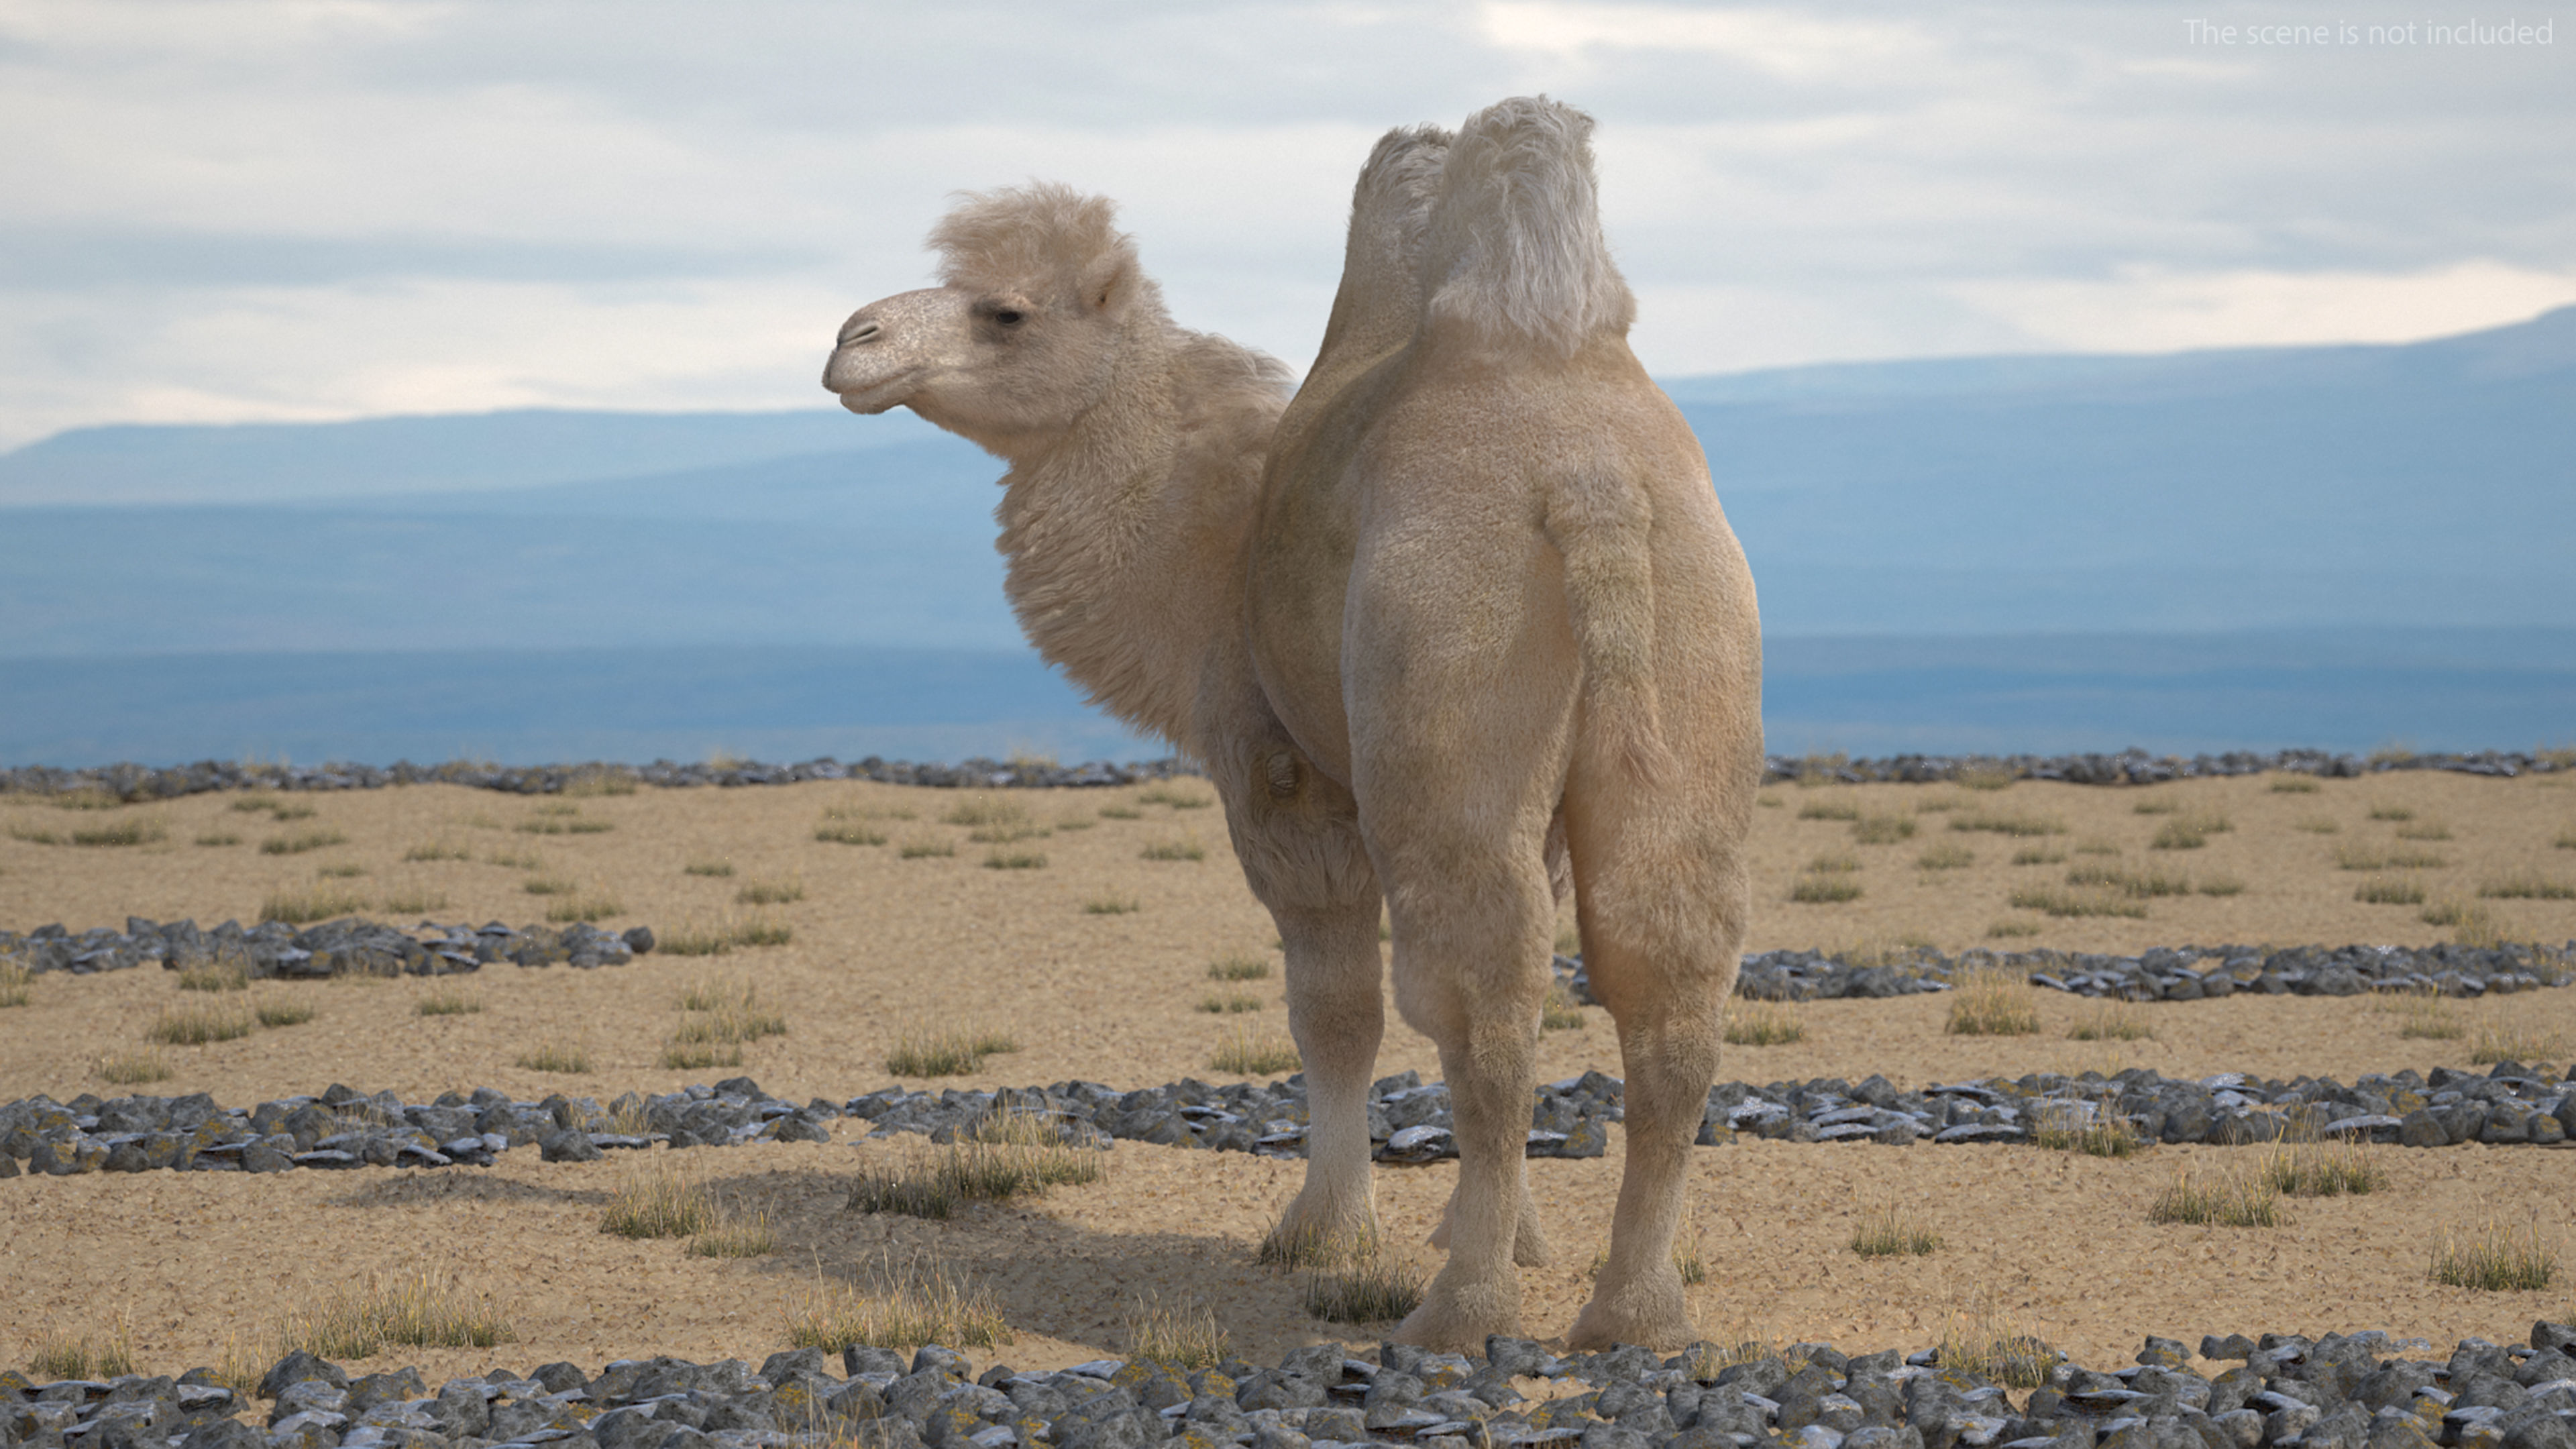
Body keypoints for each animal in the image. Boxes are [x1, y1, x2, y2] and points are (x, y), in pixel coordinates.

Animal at [821, 95, 1762, 1352]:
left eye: (1005, 310)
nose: (853, 339)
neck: (1216, 534)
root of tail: (1587, 474)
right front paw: (1506, 1232)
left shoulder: (1280, 770)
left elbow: (1335, 1010)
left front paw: (1325, 1231)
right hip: (1697, 654)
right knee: (1669, 978)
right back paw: (1633, 1313)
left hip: (1445, 674)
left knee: (1479, 996)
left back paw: (1460, 1311)